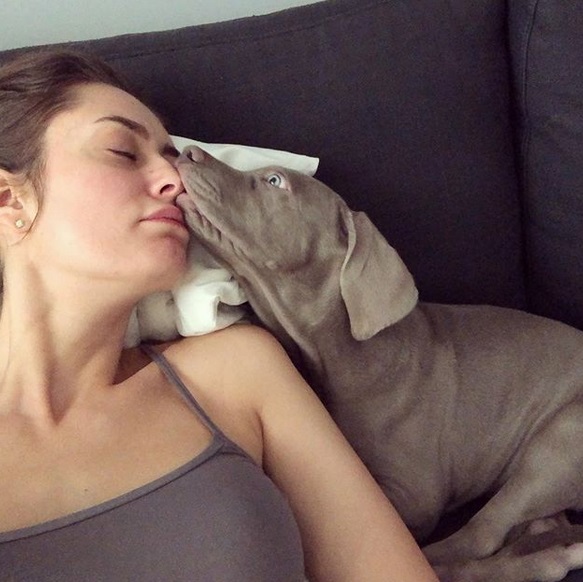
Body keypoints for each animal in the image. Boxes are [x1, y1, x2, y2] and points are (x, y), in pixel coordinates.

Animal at [176, 146, 583, 582]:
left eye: (275, 181)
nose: (187, 152)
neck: (345, 359)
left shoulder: (414, 496)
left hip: (561, 438)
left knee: (479, 537)